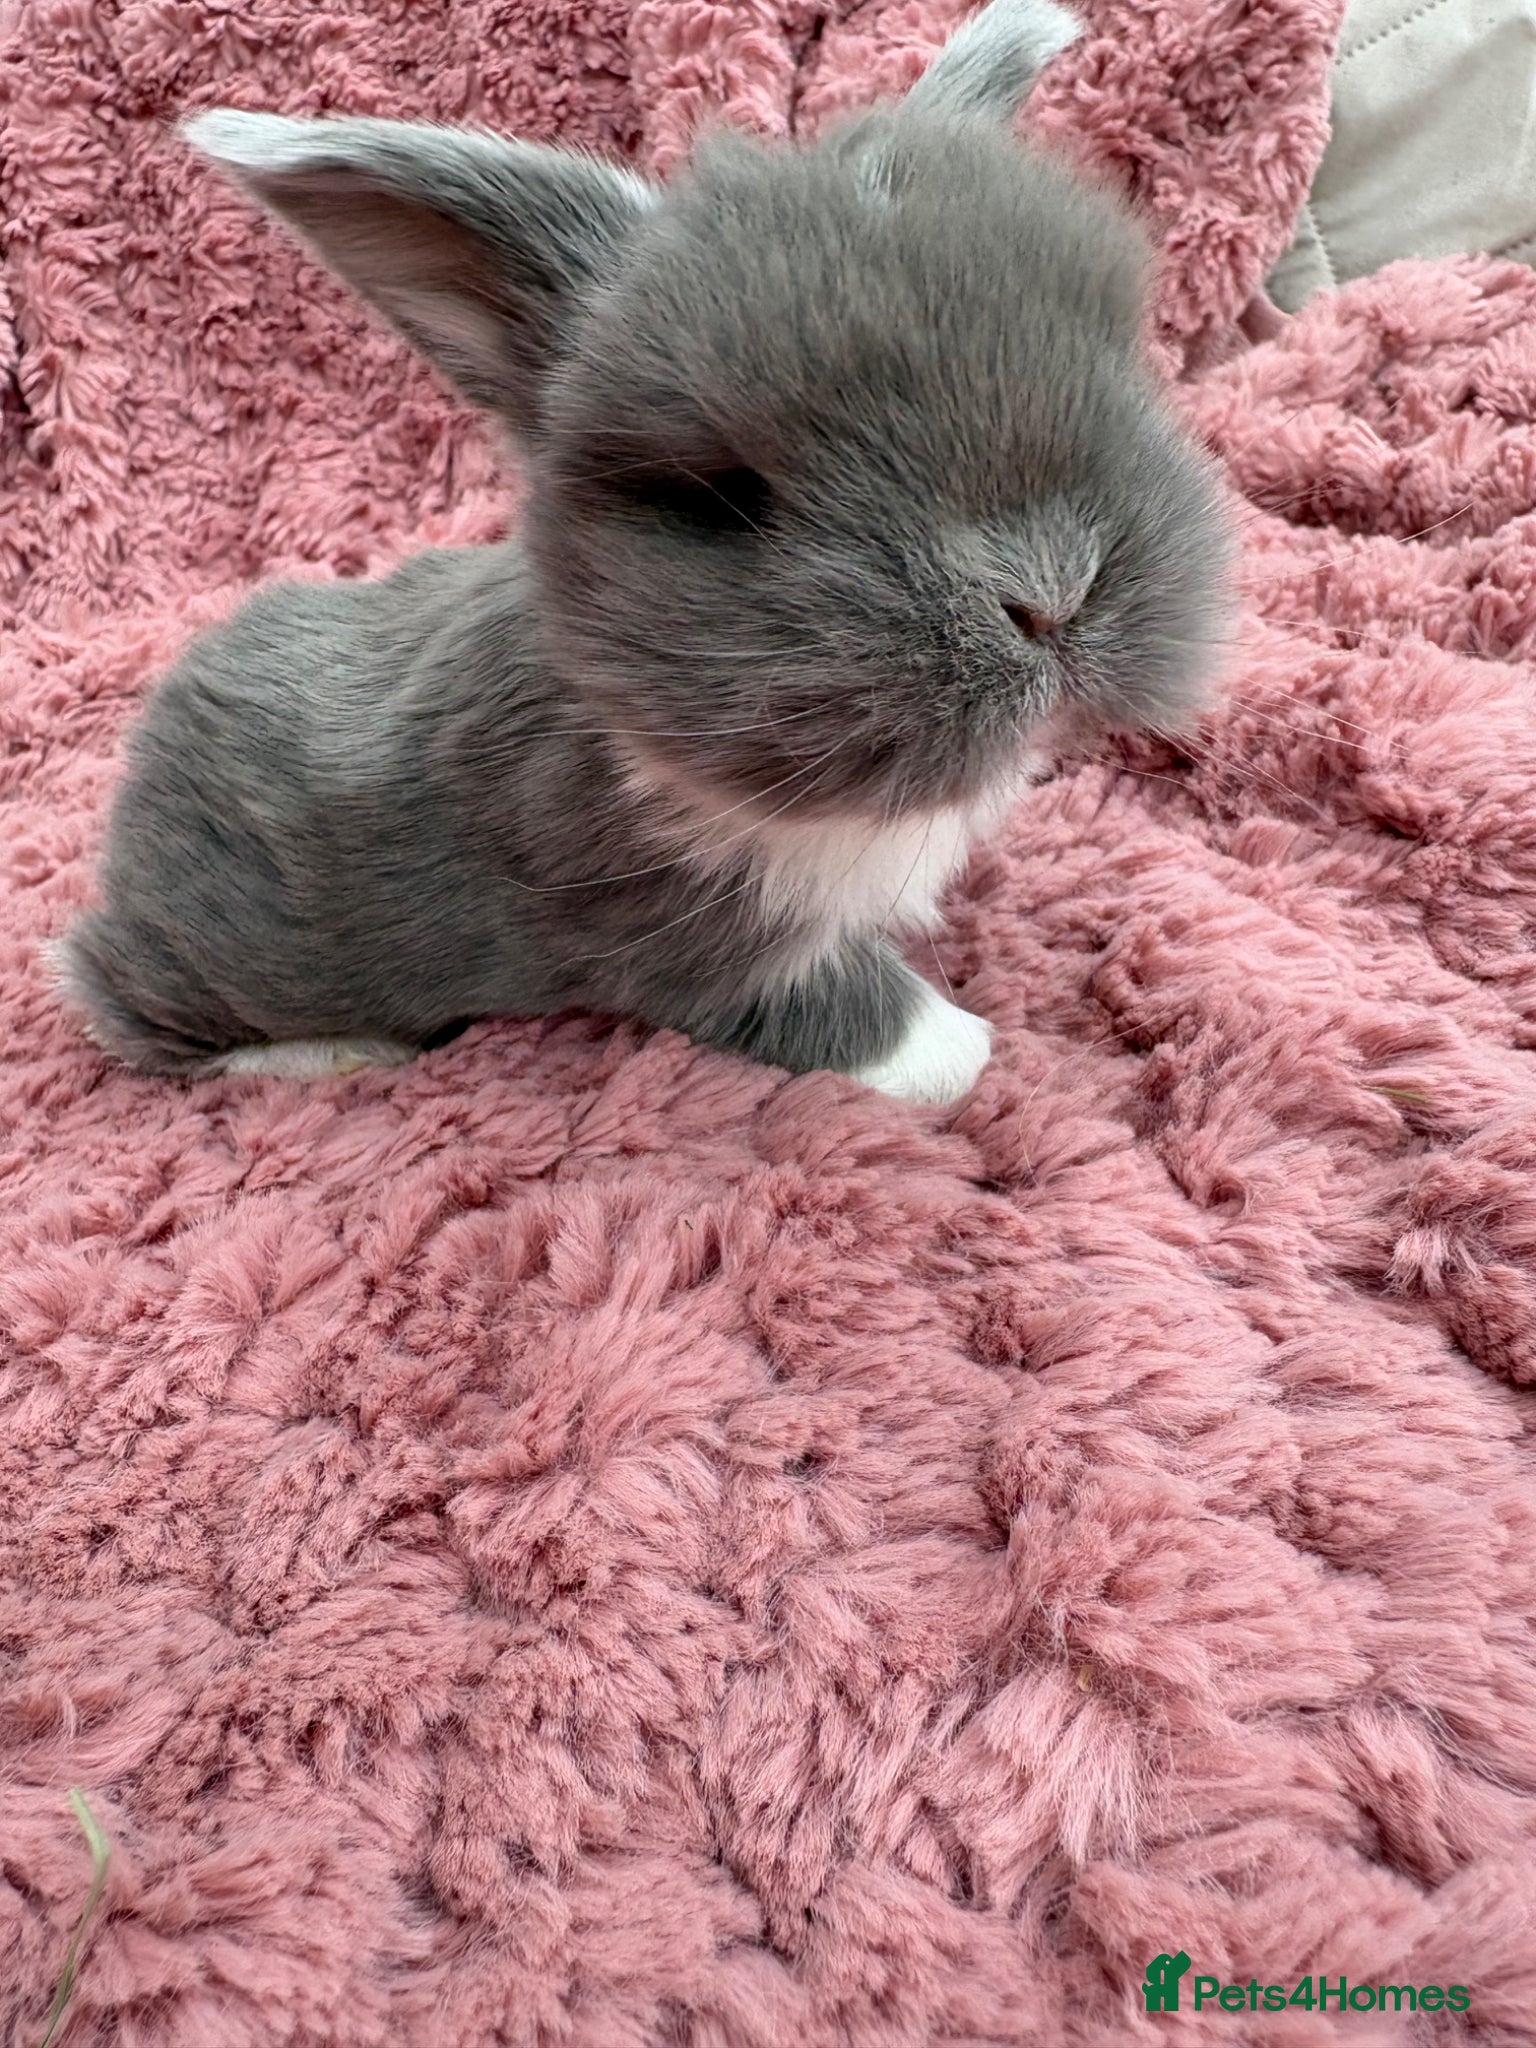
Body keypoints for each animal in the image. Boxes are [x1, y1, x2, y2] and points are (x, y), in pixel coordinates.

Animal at [55, 0, 1230, 1105]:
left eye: (1114, 366)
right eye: (726, 496)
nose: (1051, 590)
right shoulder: (688, 936)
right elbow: (864, 1018)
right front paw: (967, 1050)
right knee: (111, 1001)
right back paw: (334, 1053)